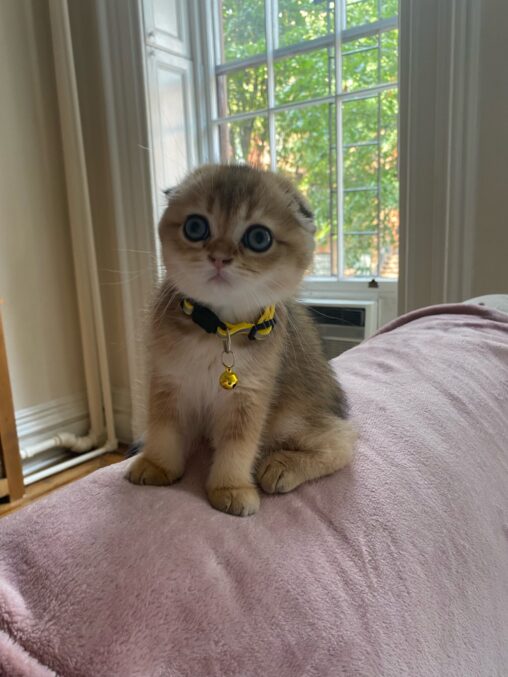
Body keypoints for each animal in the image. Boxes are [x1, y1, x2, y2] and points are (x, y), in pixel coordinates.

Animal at [127, 166, 358, 516]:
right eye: (195, 227)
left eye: (259, 238)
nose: (219, 258)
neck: (219, 330)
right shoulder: (168, 380)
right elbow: (164, 427)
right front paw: (158, 465)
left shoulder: (250, 396)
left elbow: (239, 445)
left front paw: (231, 487)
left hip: (290, 417)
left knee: (345, 442)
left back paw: (283, 466)